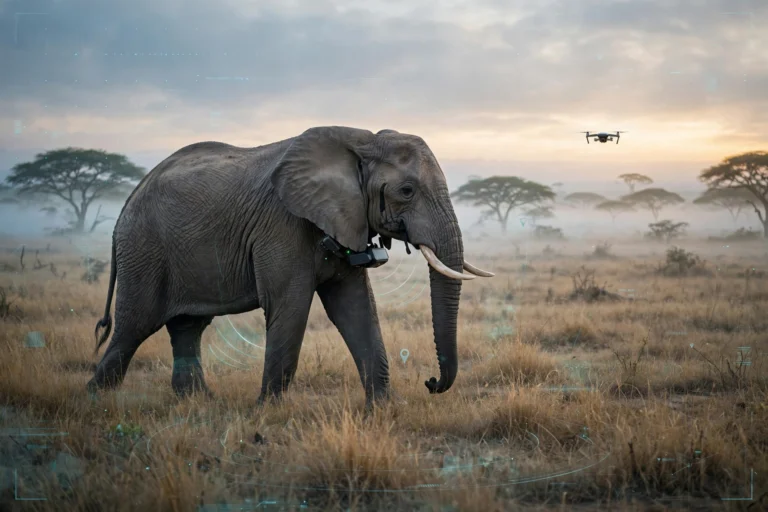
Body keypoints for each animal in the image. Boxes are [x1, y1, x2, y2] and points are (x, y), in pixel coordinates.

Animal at [87, 126, 494, 407]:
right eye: (407, 191)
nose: (430, 383)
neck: (361, 140)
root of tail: (128, 200)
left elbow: (357, 308)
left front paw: (382, 409)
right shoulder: (281, 225)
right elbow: (292, 305)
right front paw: (267, 412)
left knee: (188, 327)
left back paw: (199, 402)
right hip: (144, 248)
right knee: (134, 326)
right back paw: (97, 401)